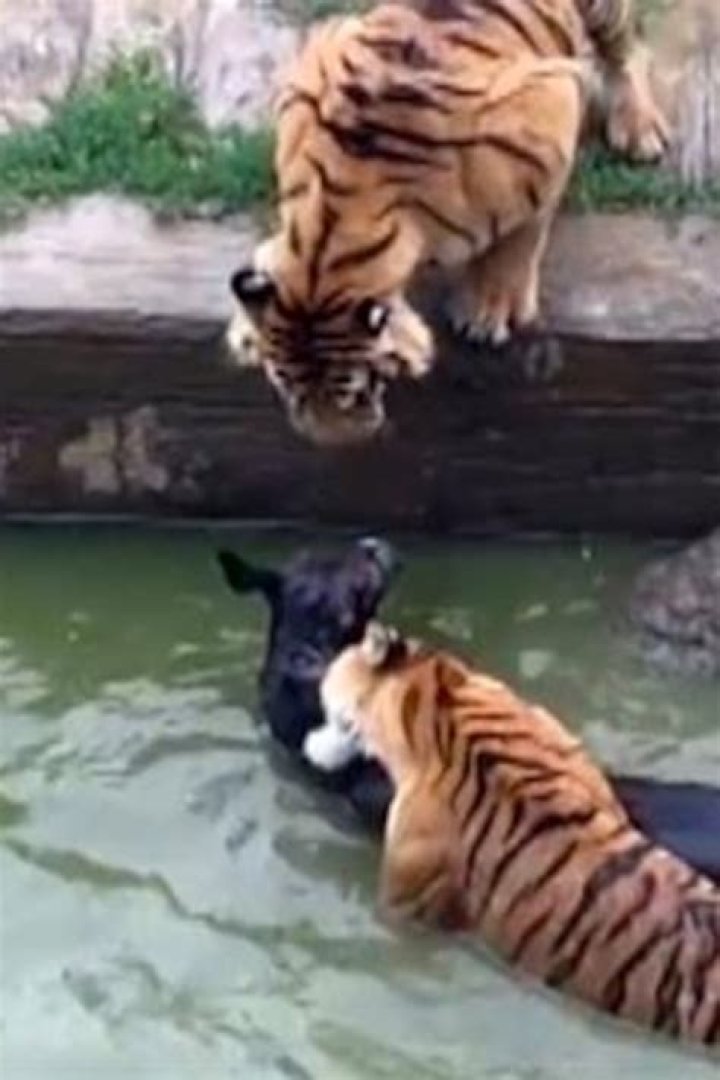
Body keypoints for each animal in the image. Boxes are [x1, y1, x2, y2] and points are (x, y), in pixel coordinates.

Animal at [227, 0, 668, 445]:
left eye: (356, 391)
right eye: (288, 389)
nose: (332, 443)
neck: (330, 228)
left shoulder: (551, 108)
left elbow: (525, 227)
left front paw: (488, 309)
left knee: (628, 46)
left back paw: (640, 128)